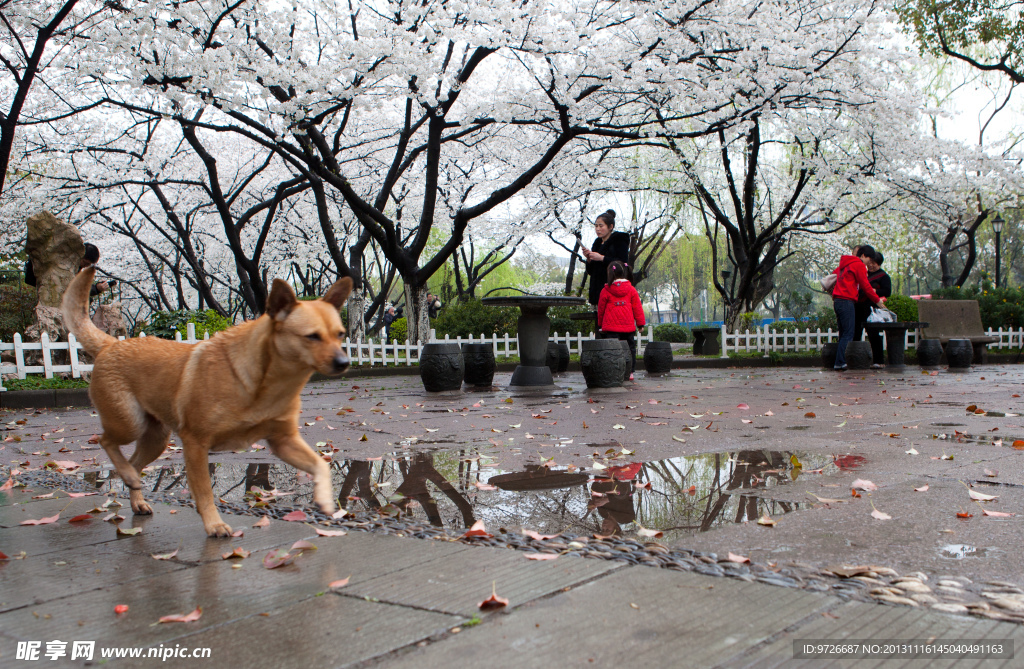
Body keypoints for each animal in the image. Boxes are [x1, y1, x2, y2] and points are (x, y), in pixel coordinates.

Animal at [64, 268, 354, 536]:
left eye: (340, 334)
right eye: (312, 336)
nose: (344, 363)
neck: (267, 382)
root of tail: (110, 344)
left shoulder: (284, 441)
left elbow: (321, 465)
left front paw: (326, 500)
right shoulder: (195, 443)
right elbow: (204, 492)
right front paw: (214, 524)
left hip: (156, 438)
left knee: (134, 463)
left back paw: (134, 488)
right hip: (129, 423)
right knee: (105, 441)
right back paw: (126, 473)